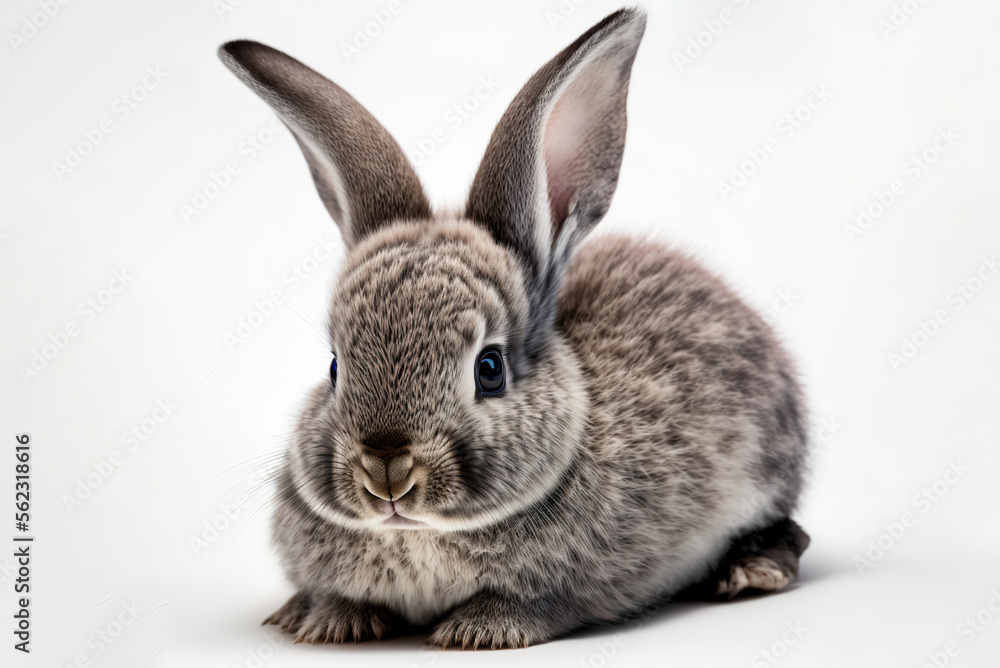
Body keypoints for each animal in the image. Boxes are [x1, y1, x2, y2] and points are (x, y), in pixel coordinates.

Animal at [219, 6, 810, 650]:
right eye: (333, 367)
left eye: (490, 368)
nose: (386, 471)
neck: (419, 532)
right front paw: (329, 621)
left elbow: (539, 603)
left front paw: (477, 631)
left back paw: (752, 570)